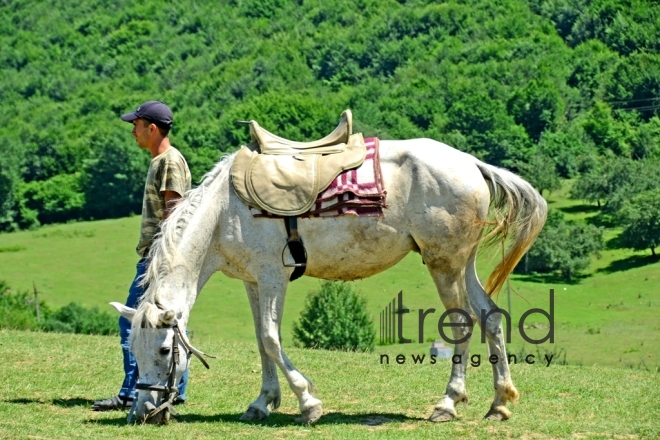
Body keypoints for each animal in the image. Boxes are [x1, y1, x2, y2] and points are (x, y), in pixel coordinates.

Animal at [112, 138, 548, 422]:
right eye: (133, 348)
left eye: (165, 350)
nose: (143, 411)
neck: (226, 210)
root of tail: (472, 164)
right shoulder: (253, 281)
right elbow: (261, 342)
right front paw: (262, 402)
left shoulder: (273, 276)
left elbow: (271, 338)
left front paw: (308, 403)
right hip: (462, 263)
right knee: (490, 316)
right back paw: (499, 402)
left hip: (444, 265)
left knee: (462, 323)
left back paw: (448, 403)